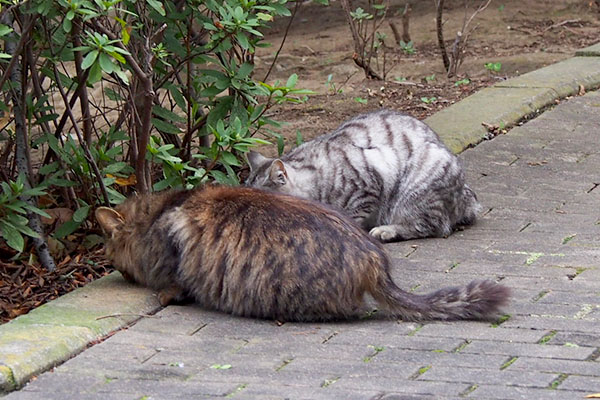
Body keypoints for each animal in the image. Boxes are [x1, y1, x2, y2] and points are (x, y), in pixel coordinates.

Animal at [246, 108, 480, 242]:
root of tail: (467, 198)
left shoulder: (369, 183)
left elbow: (350, 216)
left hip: (419, 186)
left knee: (429, 226)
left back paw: (385, 230)